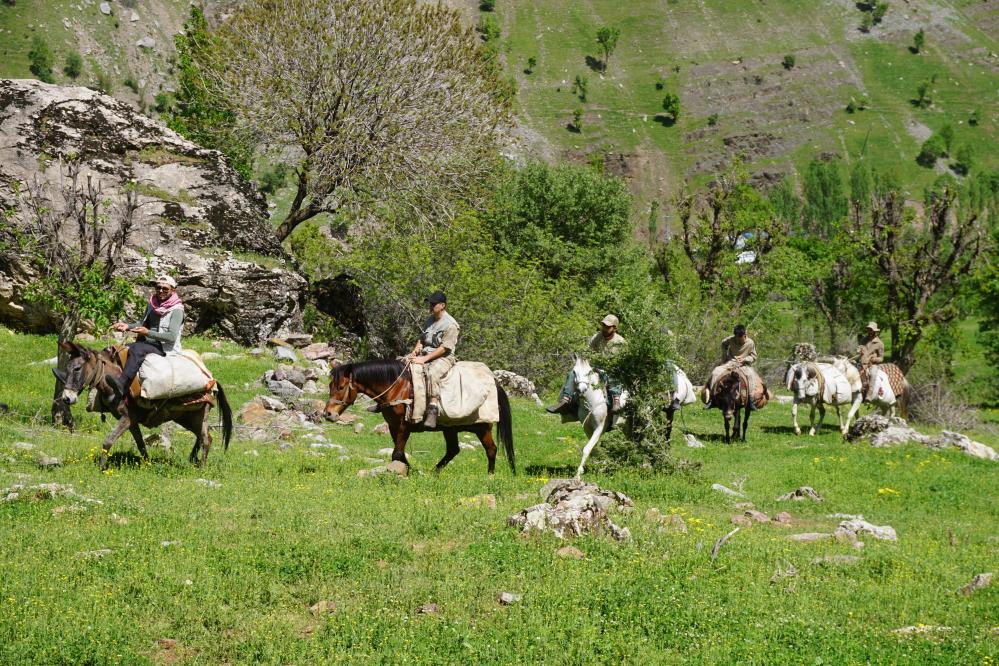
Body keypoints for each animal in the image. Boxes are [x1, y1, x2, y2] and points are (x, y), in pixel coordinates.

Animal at [55, 342, 234, 466]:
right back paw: (193, 460)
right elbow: (140, 444)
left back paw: (201, 467)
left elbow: (108, 441)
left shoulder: (127, 418)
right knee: (202, 436)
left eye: (77, 368)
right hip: (186, 417)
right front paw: (146, 463)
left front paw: (101, 468)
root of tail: (212, 380)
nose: (67, 398)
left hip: (198, 415)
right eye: (67, 367)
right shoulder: (131, 421)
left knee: (206, 439)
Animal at [328, 358, 516, 472]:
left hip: (483, 428)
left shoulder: (404, 426)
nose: (328, 414)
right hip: (450, 429)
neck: (397, 387)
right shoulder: (393, 427)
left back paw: (490, 475)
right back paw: (434, 473)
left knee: (491, 450)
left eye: (341, 387)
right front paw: (408, 470)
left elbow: (397, 453)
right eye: (330, 386)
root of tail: (494, 383)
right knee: (453, 450)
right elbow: (400, 453)